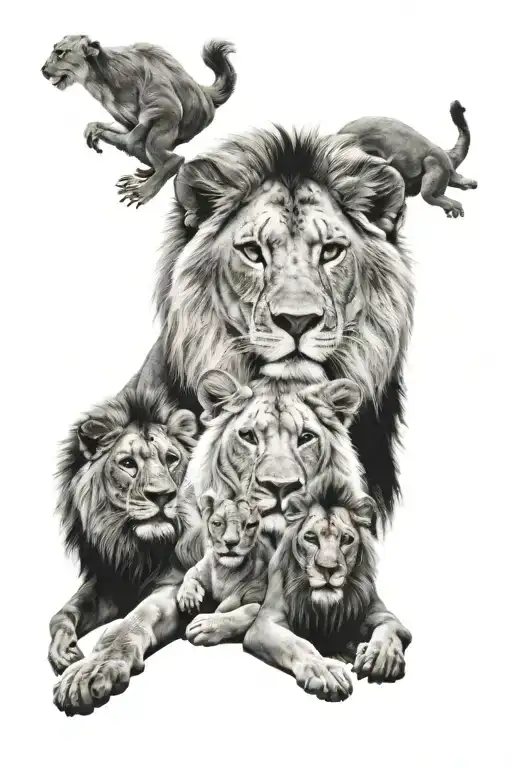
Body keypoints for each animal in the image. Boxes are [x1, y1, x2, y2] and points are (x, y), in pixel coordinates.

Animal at [41, 35, 236, 207]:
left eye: (60, 52)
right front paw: (94, 129)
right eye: (55, 48)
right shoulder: (125, 119)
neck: (99, 77)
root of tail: (203, 92)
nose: (43, 69)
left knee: (173, 158)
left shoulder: (163, 103)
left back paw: (143, 190)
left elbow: (145, 126)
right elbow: (119, 127)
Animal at [48, 385, 199, 675]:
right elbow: (63, 612)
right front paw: (63, 648)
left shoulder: (176, 580)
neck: (136, 546)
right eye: (128, 464)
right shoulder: (112, 581)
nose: (163, 496)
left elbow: (135, 619)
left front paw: (96, 668)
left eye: (171, 460)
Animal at [177, 493, 273, 646]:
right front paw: (189, 597)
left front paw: (204, 626)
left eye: (251, 524)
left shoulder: (259, 597)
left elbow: (249, 610)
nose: (231, 542)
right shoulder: (199, 568)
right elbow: (190, 574)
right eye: (217, 523)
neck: (225, 572)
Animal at [243, 471, 412, 702]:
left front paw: (380, 656)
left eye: (347, 539)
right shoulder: (265, 623)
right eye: (311, 538)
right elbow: (297, 644)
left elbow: (389, 629)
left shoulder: (383, 614)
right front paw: (325, 672)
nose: (328, 569)